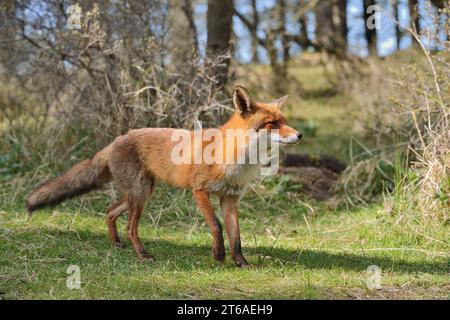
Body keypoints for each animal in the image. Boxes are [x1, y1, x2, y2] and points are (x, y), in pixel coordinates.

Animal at [27, 85, 302, 268]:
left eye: (284, 121)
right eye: (272, 124)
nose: (299, 135)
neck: (239, 159)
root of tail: (117, 139)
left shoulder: (230, 198)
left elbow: (236, 237)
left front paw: (241, 263)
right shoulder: (199, 191)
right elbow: (216, 226)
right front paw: (218, 255)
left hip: (141, 192)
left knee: (109, 210)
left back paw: (116, 244)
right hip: (140, 195)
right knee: (130, 226)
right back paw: (142, 254)